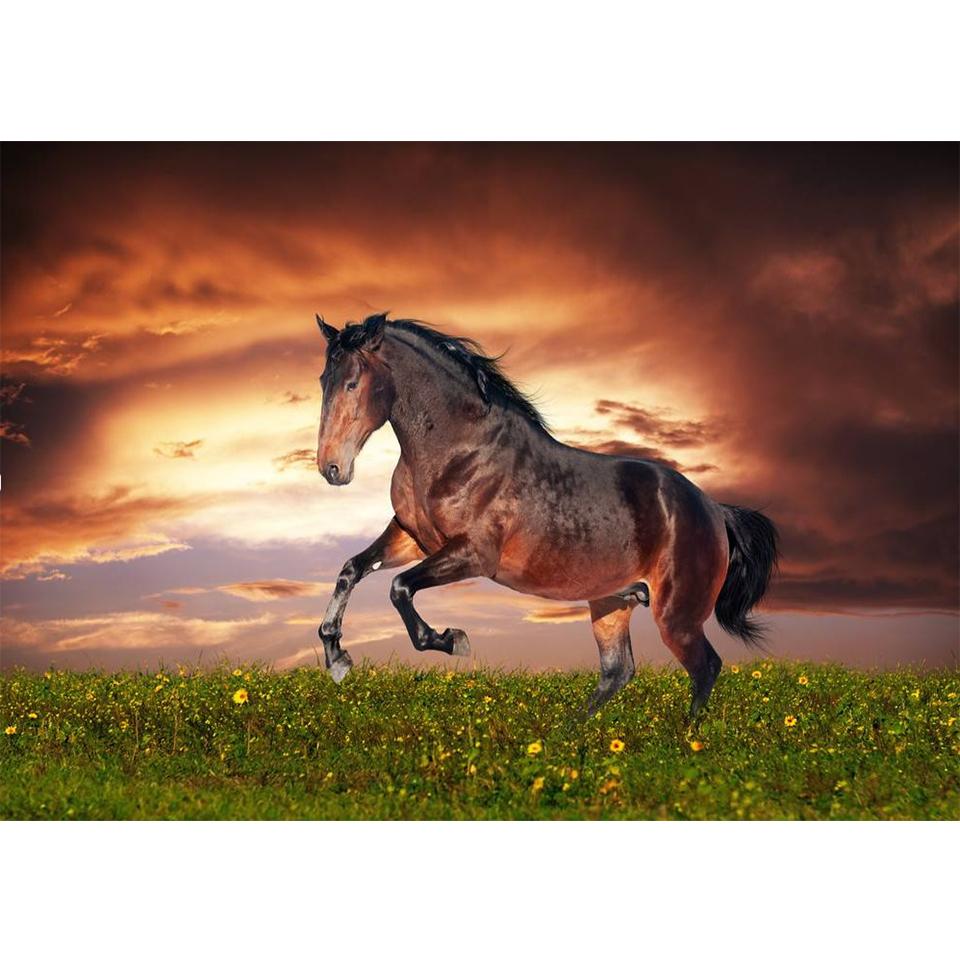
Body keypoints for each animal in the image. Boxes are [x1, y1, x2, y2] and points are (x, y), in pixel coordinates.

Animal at [314, 312, 779, 717]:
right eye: (323, 380)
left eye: (352, 383)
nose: (331, 468)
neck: (459, 451)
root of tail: (714, 510)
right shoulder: (413, 537)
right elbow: (352, 570)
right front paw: (336, 656)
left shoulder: (473, 555)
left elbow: (399, 588)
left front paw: (452, 639)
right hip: (613, 602)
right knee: (617, 671)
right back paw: (571, 735)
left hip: (676, 615)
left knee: (705, 667)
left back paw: (686, 739)